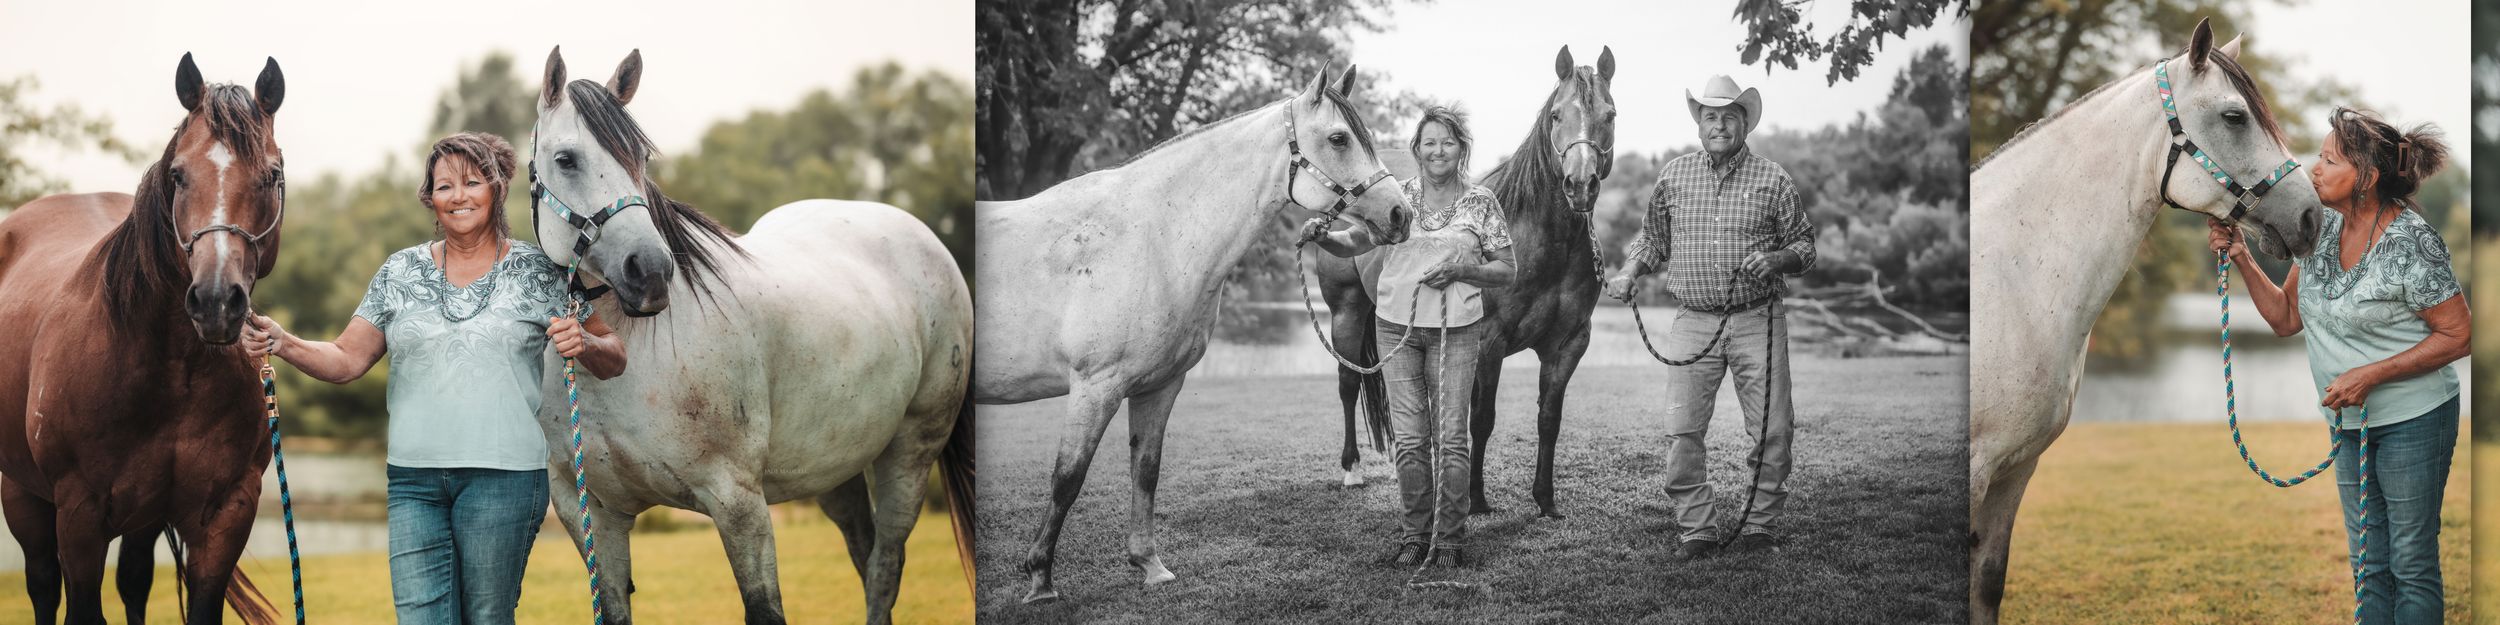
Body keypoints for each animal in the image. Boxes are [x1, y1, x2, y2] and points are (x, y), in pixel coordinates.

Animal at [0, 53, 285, 625]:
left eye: (271, 174)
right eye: (178, 175)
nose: (216, 302)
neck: (172, 369)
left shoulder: (227, 512)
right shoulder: (79, 516)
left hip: (143, 519)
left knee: (133, 581)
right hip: (21, 495)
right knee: (42, 587)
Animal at [525, 48, 975, 625]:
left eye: (640, 159)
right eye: (566, 159)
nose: (650, 272)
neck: (631, 357)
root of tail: (923, 237)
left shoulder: (737, 502)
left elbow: (765, 608)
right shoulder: (595, 513)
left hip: (912, 450)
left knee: (885, 565)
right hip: (834, 468)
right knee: (865, 548)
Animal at [974, 65, 1415, 604]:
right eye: (1339, 138)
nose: (1400, 214)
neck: (1152, 237)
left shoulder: (1159, 385)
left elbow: (1146, 469)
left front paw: (1149, 565)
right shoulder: (1094, 387)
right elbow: (1067, 478)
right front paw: (1040, 579)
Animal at [1316, 46, 1615, 521]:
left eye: (1610, 114)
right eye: (1556, 115)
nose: (1580, 185)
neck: (1543, 239)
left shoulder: (1568, 345)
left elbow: (1549, 420)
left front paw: (1545, 499)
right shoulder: (1488, 343)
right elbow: (1482, 420)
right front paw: (1475, 498)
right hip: (1346, 310)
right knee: (1348, 384)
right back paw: (1352, 471)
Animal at [1967, 21, 2321, 623]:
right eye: (2235, 116)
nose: (2311, 216)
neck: (2012, 280)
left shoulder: (2015, 468)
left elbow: (1988, 583)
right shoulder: (1973, 470)